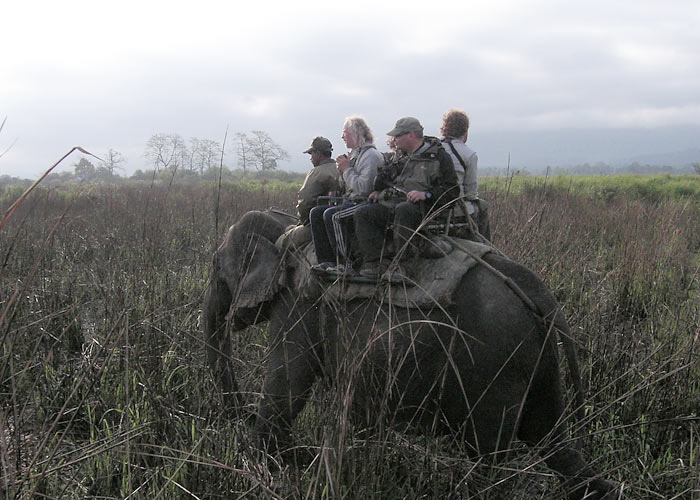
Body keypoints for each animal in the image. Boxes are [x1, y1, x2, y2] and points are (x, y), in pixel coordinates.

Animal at [202, 210, 616, 500]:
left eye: (215, 267)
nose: (239, 411)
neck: (285, 227)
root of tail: (539, 292)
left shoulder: (299, 303)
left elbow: (287, 385)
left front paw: (263, 465)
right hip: (536, 358)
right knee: (553, 440)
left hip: (495, 364)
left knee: (488, 456)